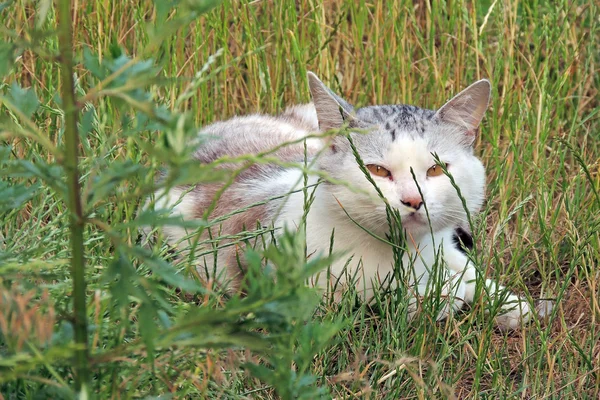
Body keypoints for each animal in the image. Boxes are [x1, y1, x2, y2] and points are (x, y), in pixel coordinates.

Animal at [145, 73, 536, 330]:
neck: (404, 251)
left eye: (437, 170)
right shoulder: (299, 294)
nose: (413, 200)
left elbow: (469, 269)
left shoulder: (443, 246)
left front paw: (509, 303)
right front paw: (444, 296)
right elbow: (389, 301)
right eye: (377, 170)